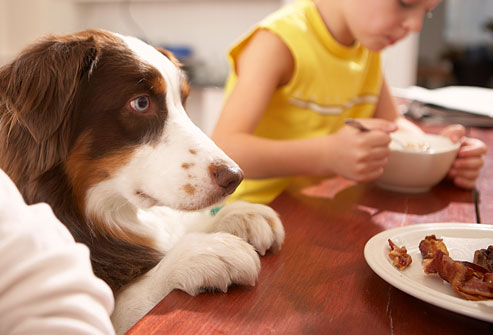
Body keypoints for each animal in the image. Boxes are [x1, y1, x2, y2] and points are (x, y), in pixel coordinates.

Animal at [0, 29, 284, 334]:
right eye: (141, 103)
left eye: (183, 103)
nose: (235, 176)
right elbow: (126, 298)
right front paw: (204, 252)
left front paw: (239, 214)